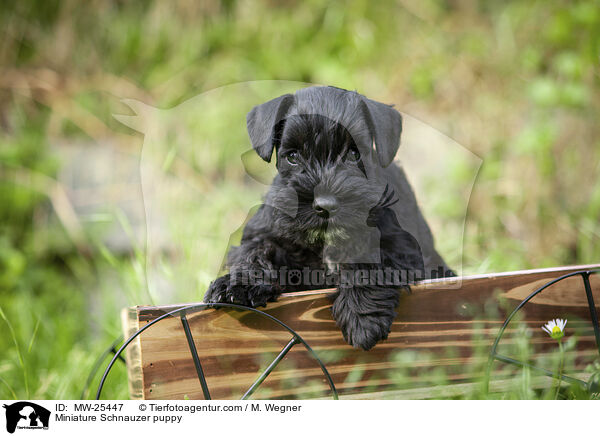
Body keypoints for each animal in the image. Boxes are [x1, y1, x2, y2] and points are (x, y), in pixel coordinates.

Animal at [204, 86, 452, 350]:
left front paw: (360, 316)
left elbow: (370, 261)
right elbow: (255, 251)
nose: (325, 206)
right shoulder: (269, 234)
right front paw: (236, 285)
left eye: (354, 153)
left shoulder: (400, 245)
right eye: (293, 156)